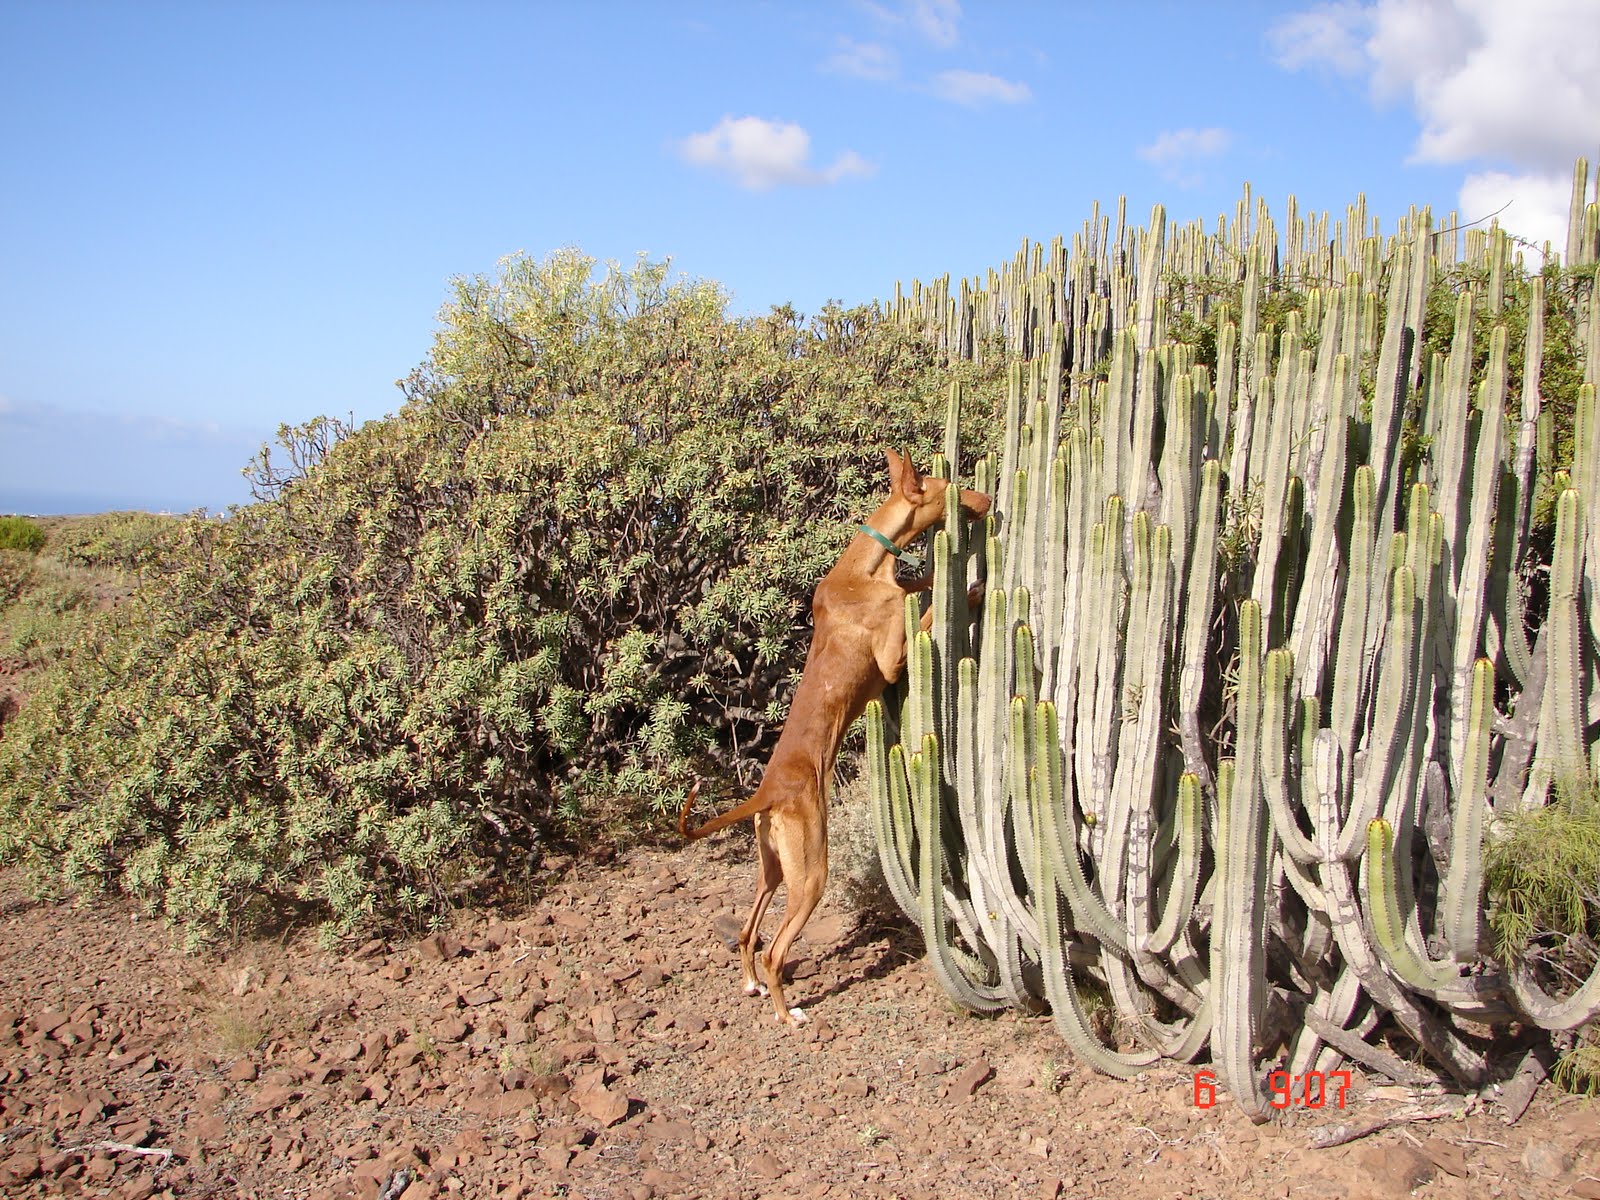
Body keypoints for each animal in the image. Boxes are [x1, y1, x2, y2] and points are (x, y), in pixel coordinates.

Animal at [678, 451, 985, 1024]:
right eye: (950, 485)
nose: (989, 500)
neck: (867, 565)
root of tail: (766, 792)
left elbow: (918, 585)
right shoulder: (892, 662)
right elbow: (925, 607)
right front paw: (967, 588)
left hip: (774, 868)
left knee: (749, 933)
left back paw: (752, 985)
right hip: (812, 871)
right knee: (775, 949)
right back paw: (787, 1013)